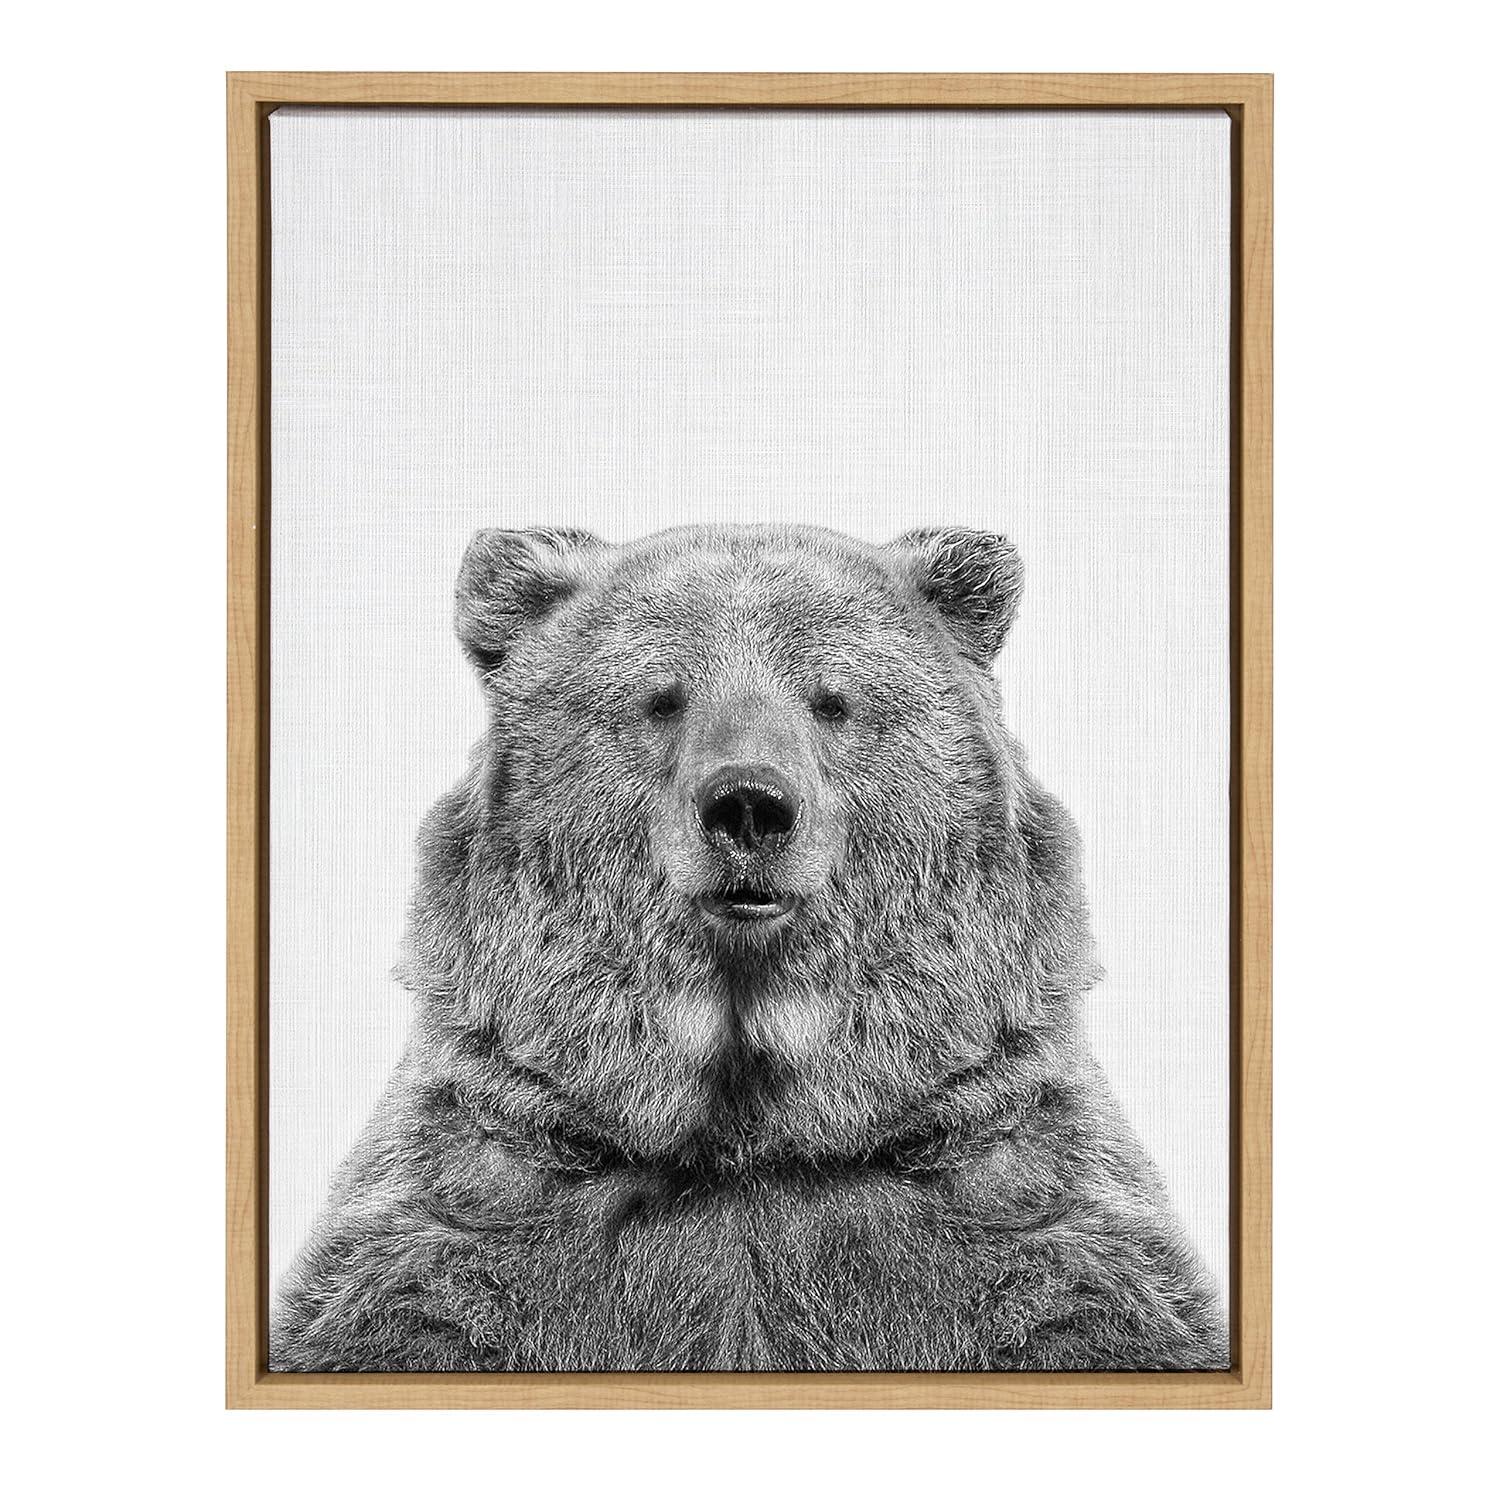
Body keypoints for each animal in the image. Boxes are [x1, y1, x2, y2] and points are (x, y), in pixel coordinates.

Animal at [271, 522, 1227, 1373]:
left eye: (831, 699)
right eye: (662, 697)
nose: (749, 806)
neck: (751, 1132)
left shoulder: (1017, 1197)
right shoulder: (475, 1201)